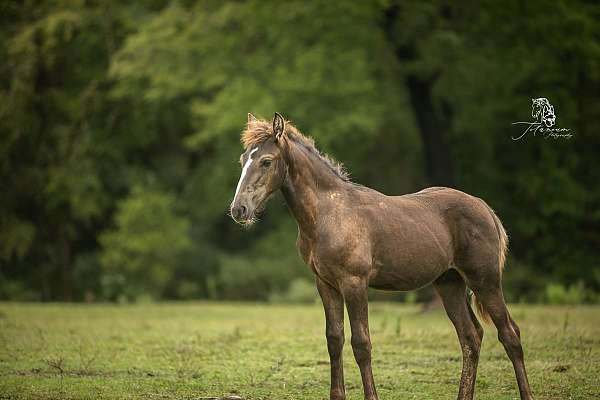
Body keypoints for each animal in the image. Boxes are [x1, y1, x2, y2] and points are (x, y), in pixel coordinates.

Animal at [230, 112, 536, 400]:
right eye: (243, 159)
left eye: (266, 161)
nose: (239, 209)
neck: (327, 215)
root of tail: (484, 207)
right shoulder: (326, 284)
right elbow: (334, 339)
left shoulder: (354, 283)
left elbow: (361, 343)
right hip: (449, 283)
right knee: (471, 337)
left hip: (485, 281)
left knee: (510, 334)